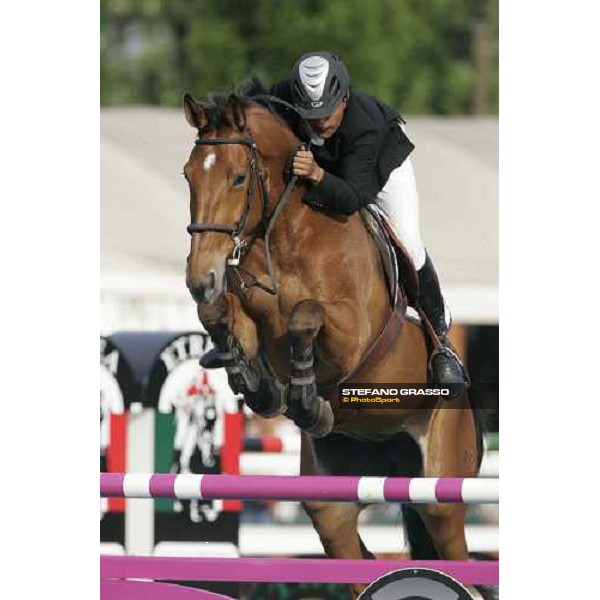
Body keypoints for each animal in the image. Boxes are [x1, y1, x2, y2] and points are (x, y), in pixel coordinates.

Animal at [180, 85, 486, 600]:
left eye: (239, 178)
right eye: (188, 176)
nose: (200, 279)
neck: (287, 235)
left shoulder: (354, 337)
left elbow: (306, 316)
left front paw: (305, 401)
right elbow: (219, 316)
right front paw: (257, 385)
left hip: (441, 487)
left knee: (453, 545)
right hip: (333, 503)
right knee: (356, 556)